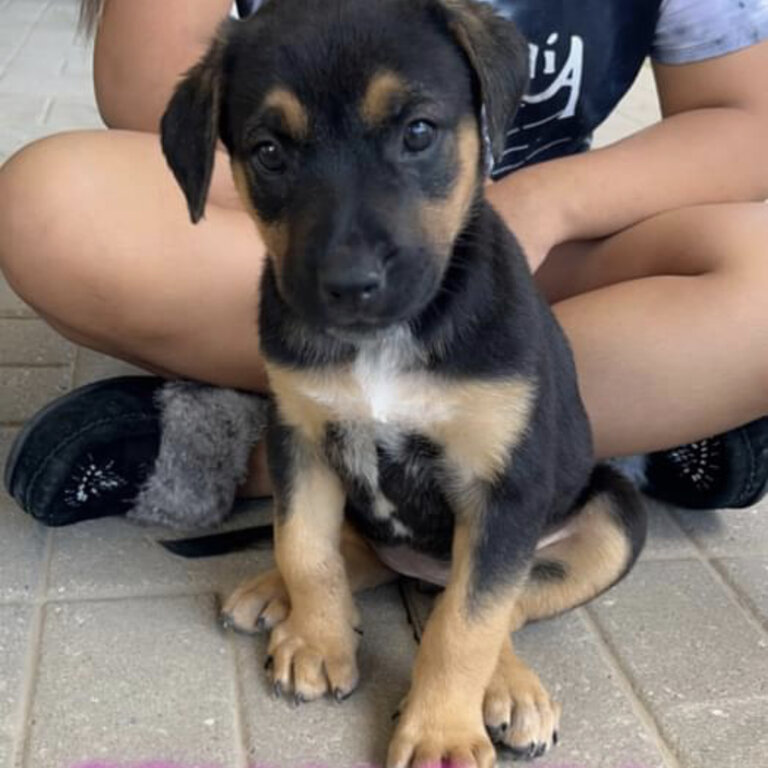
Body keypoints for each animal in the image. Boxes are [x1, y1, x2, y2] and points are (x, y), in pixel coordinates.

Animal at [160, 3, 648, 764]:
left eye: (418, 131)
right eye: (268, 151)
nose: (350, 283)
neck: (386, 340)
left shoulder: (505, 485)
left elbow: (469, 623)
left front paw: (442, 728)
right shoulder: (298, 434)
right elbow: (304, 546)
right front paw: (317, 639)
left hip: (615, 516)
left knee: (503, 599)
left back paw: (512, 688)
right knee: (358, 552)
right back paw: (274, 595)